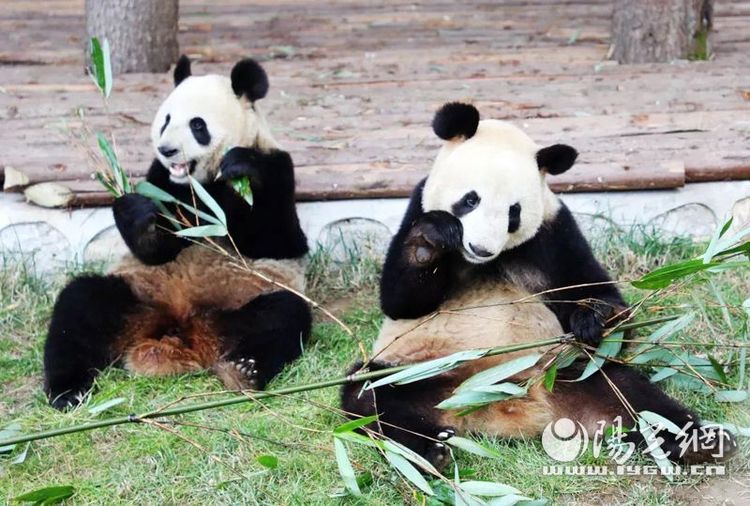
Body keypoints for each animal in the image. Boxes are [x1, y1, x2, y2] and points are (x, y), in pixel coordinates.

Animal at [43, 56, 312, 412]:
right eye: (166, 120)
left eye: (198, 125)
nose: (167, 149)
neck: (200, 182)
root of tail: (180, 331)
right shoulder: (162, 180)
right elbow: (155, 249)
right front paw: (138, 215)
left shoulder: (277, 167)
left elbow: (279, 240)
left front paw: (242, 168)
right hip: (137, 293)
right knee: (80, 306)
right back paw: (68, 390)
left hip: (246, 299)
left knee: (281, 315)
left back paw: (243, 370)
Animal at [342, 102, 740, 466]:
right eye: (470, 199)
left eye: (513, 213)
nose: (481, 248)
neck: (484, 262)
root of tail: (502, 402)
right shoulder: (418, 205)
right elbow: (402, 302)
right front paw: (431, 242)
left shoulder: (555, 230)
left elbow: (602, 298)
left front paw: (591, 318)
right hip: (420, 371)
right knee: (371, 395)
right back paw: (429, 451)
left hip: (567, 369)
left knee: (631, 395)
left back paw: (699, 441)